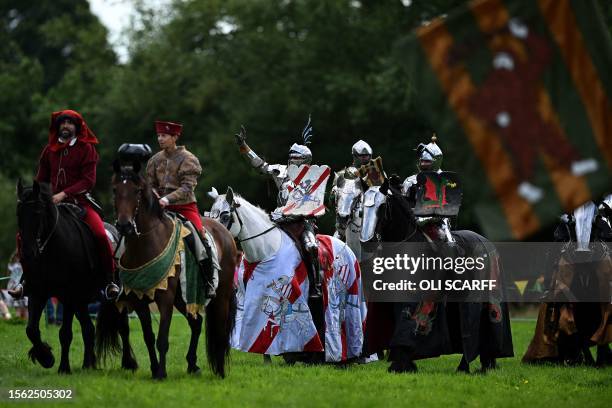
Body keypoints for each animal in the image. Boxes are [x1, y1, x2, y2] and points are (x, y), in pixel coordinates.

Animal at [16, 178, 112, 372]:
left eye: (37, 212)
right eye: (19, 214)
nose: (28, 253)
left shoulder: (69, 296)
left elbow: (65, 333)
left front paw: (63, 367)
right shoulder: (38, 293)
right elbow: (31, 330)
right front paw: (45, 357)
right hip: (82, 302)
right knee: (88, 329)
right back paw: (87, 364)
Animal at [97, 160, 238, 380]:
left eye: (137, 190)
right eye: (115, 189)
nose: (125, 225)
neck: (146, 243)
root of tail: (224, 233)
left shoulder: (165, 297)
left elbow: (162, 338)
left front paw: (161, 373)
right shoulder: (138, 299)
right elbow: (148, 336)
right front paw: (155, 369)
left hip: (221, 294)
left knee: (220, 330)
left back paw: (221, 370)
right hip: (183, 296)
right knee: (196, 323)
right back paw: (192, 365)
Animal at [360, 180, 512, 374]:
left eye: (382, 207)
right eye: (361, 210)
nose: (367, 243)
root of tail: (485, 241)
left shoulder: (415, 299)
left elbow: (406, 326)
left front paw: (400, 364)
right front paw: (406, 364)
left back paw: (468, 366)